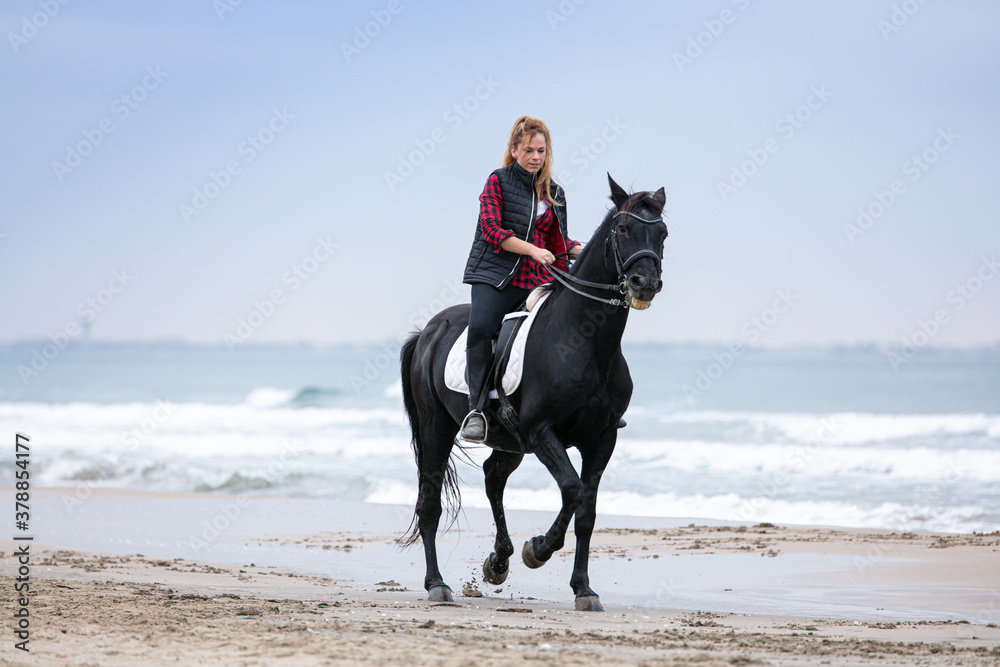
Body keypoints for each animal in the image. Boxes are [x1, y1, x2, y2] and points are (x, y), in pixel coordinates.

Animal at [398, 174, 668, 612]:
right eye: (625, 229)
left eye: (662, 233)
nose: (645, 284)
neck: (585, 339)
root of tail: (427, 332)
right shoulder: (543, 432)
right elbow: (572, 490)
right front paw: (537, 550)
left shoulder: (601, 439)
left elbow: (587, 511)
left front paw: (584, 589)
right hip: (437, 427)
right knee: (430, 503)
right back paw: (438, 584)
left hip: (511, 441)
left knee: (493, 477)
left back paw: (498, 561)